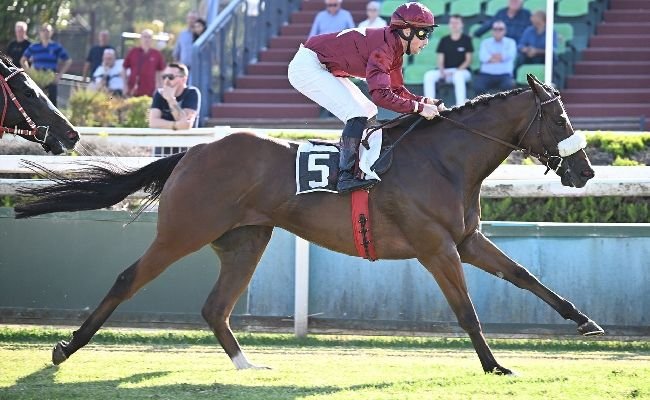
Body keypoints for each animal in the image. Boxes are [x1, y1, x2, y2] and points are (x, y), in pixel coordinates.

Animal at [15, 74, 604, 375]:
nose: (585, 171)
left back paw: (248, 366)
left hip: (246, 240)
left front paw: (583, 321)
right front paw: (495, 366)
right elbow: (467, 311)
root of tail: (191, 153)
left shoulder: (466, 239)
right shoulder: (436, 247)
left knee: (215, 307)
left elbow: (525, 276)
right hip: (183, 231)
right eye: (559, 118)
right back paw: (64, 349)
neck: (444, 159)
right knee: (127, 280)